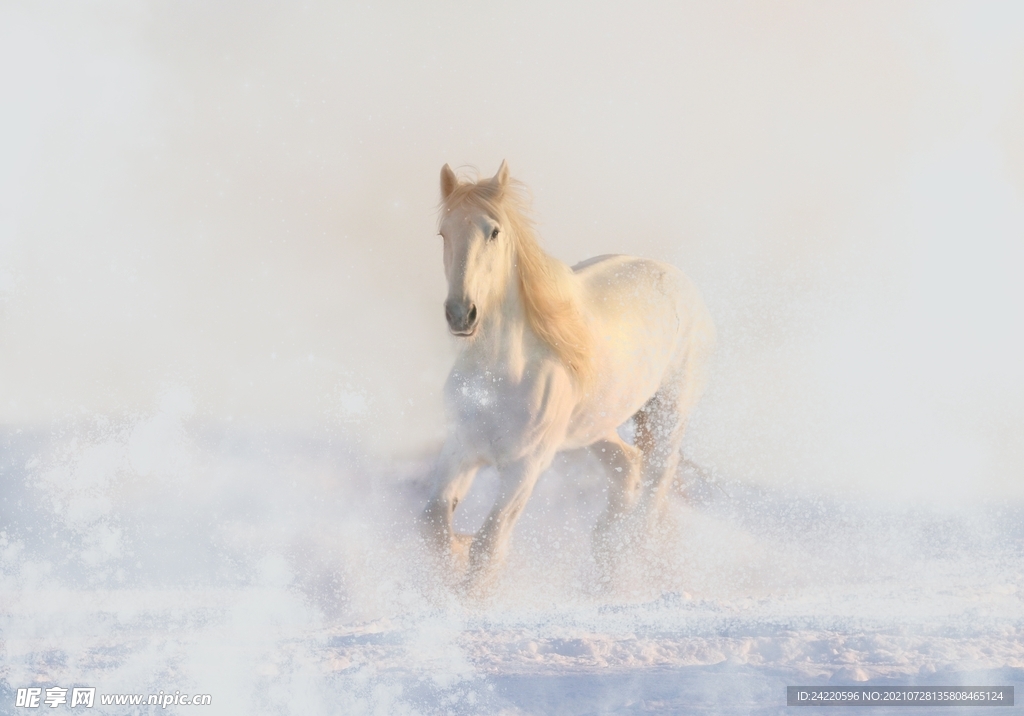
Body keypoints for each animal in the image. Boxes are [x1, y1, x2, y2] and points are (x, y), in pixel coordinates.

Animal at [420, 161, 715, 593]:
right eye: (444, 233)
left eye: (494, 231)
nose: (461, 314)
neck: (500, 378)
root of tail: (678, 280)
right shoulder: (461, 449)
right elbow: (435, 527)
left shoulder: (525, 467)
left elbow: (488, 547)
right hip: (596, 426)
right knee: (629, 468)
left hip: (669, 413)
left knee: (656, 483)